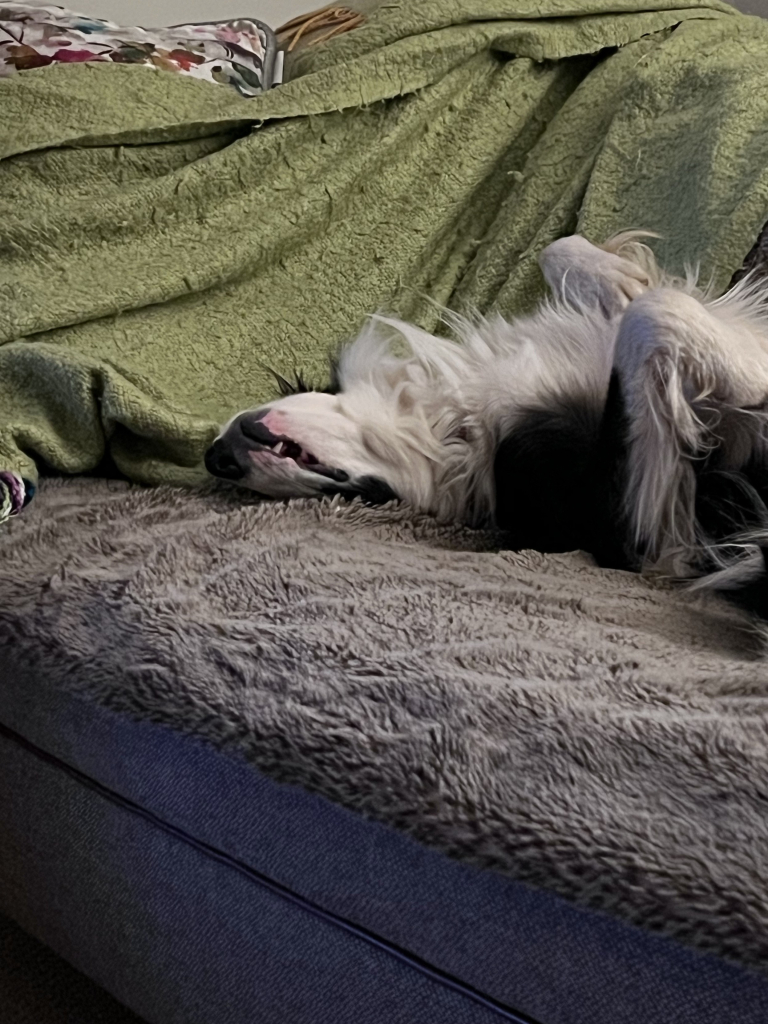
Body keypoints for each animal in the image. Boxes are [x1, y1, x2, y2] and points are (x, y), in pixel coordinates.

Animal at [202, 234, 768, 614]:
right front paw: (758, 381)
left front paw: (615, 276)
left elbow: (571, 257)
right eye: (362, 497)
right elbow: (655, 313)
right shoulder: (626, 522)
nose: (215, 456)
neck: (452, 422)